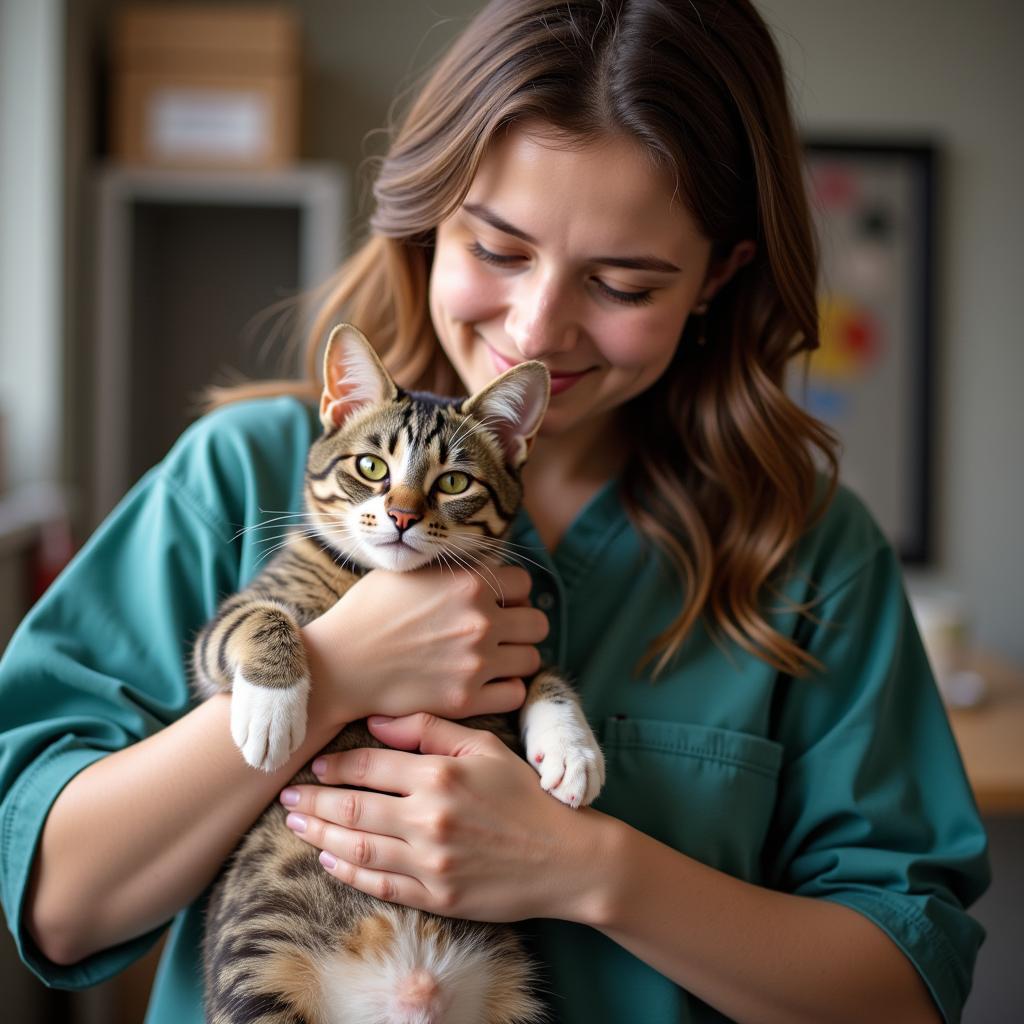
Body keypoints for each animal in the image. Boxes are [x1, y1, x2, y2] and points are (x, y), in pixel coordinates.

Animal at [195, 325, 602, 1024]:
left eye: (455, 481)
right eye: (371, 468)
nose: (404, 516)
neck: (378, 577)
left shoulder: (513, 638)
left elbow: (546, 675)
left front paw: (572, 751)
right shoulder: (242, 611)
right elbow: (256, 617)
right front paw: (273, 710)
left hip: (518, 997)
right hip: (260, 967)